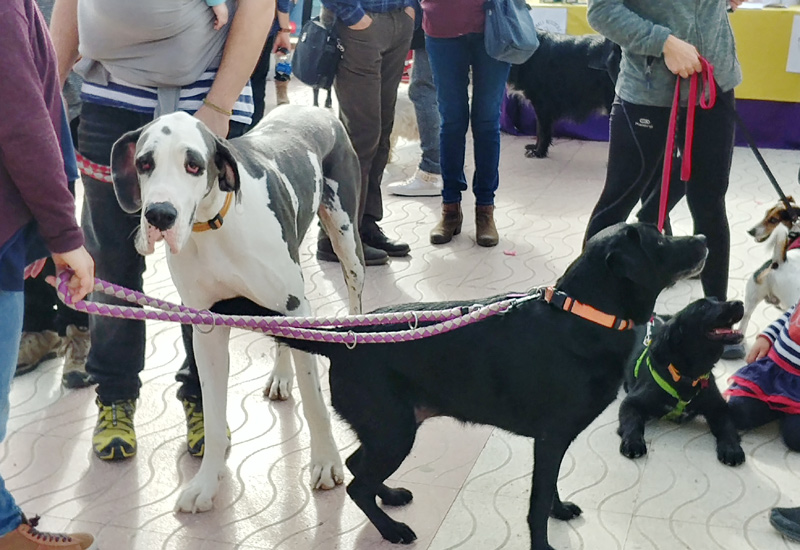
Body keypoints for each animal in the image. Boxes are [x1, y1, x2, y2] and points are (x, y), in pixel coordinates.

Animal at [282, 224, 708, 550]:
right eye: (659, 242)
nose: (704, 238)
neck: (584, 315)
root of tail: (341, 340)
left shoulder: (554, 442)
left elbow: (551, 487)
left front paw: (559, 510)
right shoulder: (551, 438)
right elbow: (537, 502)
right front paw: (543, 544)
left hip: (386, 430)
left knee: (359, 468)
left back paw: (389, 496)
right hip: (393, 432)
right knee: (357, 485)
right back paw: (392, 530)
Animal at [620, 300, 744, 468]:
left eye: (717, 300)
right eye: (703, 306)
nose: (739, 303)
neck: (687, 375)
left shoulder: (719, 406)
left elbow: (727, 426)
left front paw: (731, 448)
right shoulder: (631, 402)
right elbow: (632, 421)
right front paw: (633, 442)